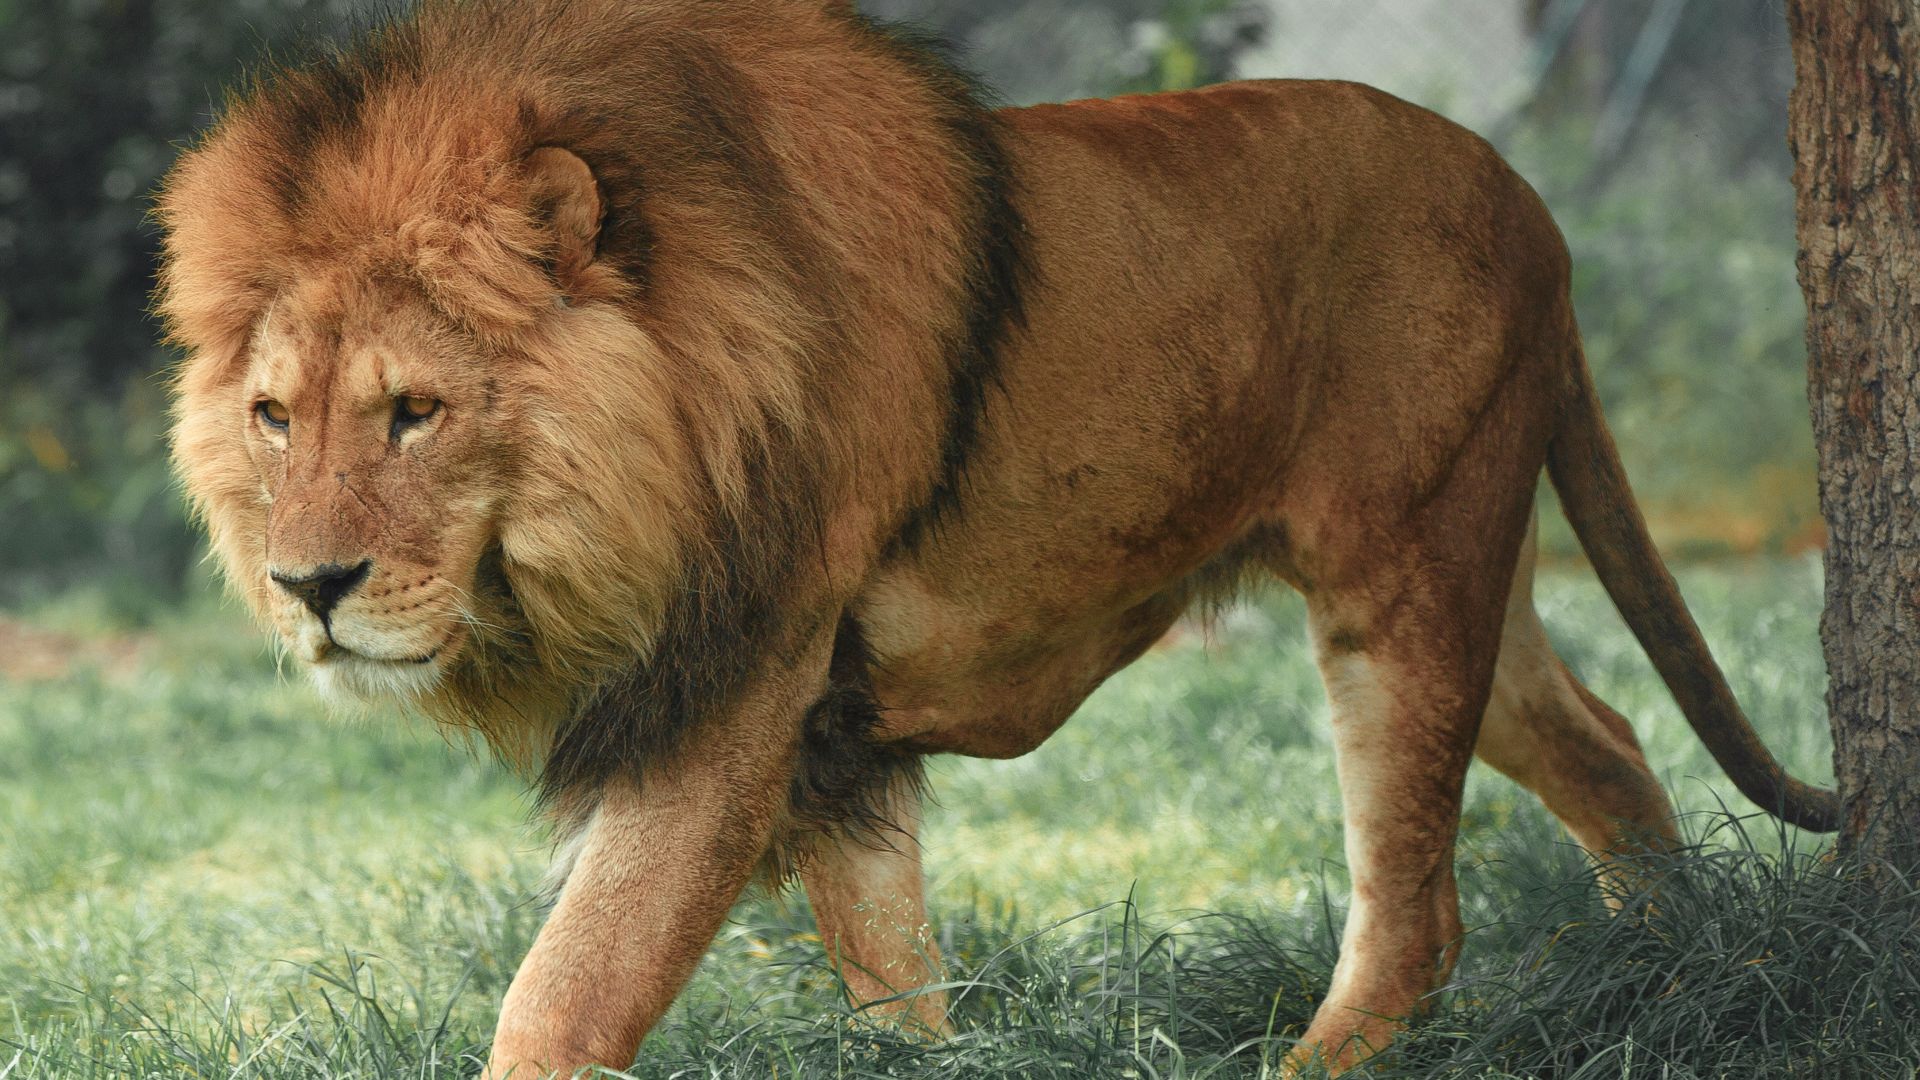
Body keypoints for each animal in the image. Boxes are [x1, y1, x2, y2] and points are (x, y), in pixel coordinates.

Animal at [155, 0, 1838, 1075]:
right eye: (273, 418)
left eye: (414, 414)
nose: (308, 589)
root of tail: (1530, 202)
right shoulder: (831, 735)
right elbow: (891, 971)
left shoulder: (738, 689)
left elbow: (571, 991)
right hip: (1460, 561)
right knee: (1606, 741)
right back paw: (1681, 971)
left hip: (1404, 571)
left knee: (1417, 911)